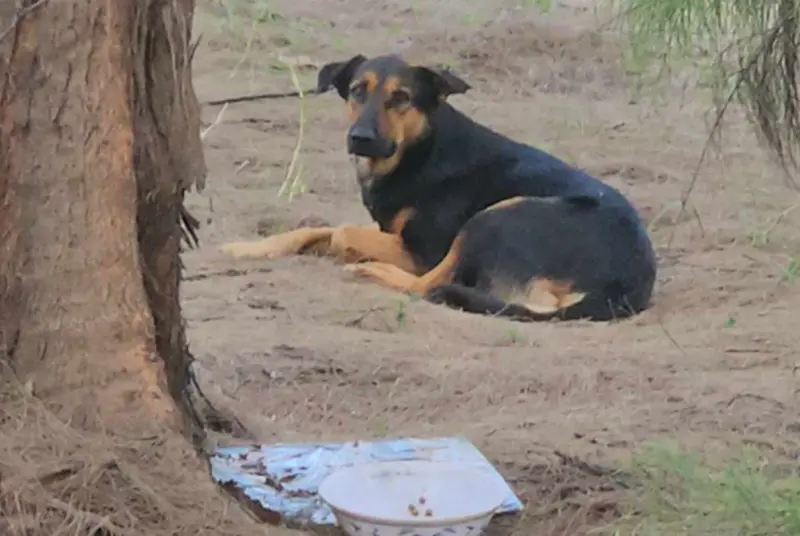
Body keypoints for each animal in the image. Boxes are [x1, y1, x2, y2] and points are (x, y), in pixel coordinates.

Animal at [219, 54, 656, 322]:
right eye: (358, 90)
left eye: (401, 98)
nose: (360, 138)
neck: (420, 151)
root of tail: (629, 282)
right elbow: (314, 228)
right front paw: (246, 248)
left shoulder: (421, 252)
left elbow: (341, 232)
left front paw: (354, 254)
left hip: (497, 216)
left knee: (431, 285)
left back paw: (372, 269)